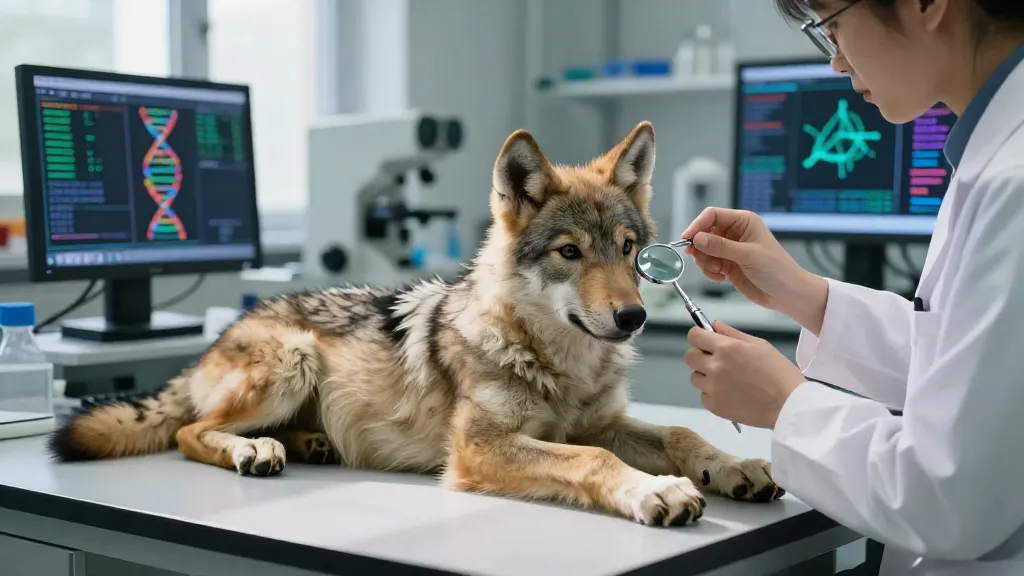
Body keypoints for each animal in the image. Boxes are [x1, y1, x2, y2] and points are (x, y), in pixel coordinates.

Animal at [48, 121, 781, 526]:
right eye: (569, 252)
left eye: (631, 252)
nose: (633, 317)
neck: (560, 362)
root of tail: (229, 327)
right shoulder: (481, 448)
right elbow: (594, 459)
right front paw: (654, 492)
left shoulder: (600, 420)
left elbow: (682, 432)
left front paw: (735, 465)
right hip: (291, 362)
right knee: (190, 432)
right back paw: (254, 450)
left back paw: (307, 444)